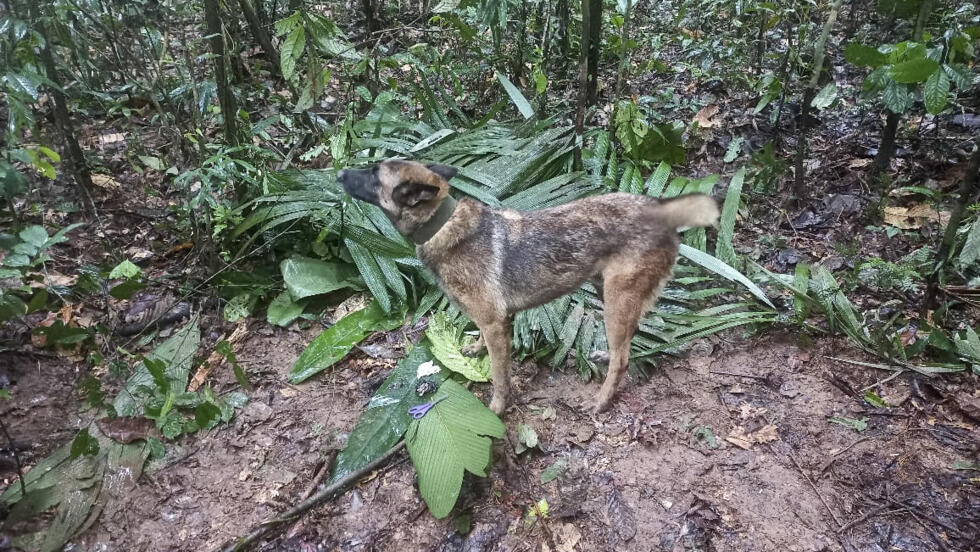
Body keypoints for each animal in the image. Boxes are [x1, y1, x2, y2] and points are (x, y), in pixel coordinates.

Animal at [336, 160, 720, 414]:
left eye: (373, 173)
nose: (338, 173)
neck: (443, 225)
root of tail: (661, 210)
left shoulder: (495, 324)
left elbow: (499, 376)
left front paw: (497, 407)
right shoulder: (493, 323)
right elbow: (484, 346)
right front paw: (475, 350)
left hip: (617, 299)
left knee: (624, 358)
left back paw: (601, 400)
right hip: (607, 293)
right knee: (626, 341)